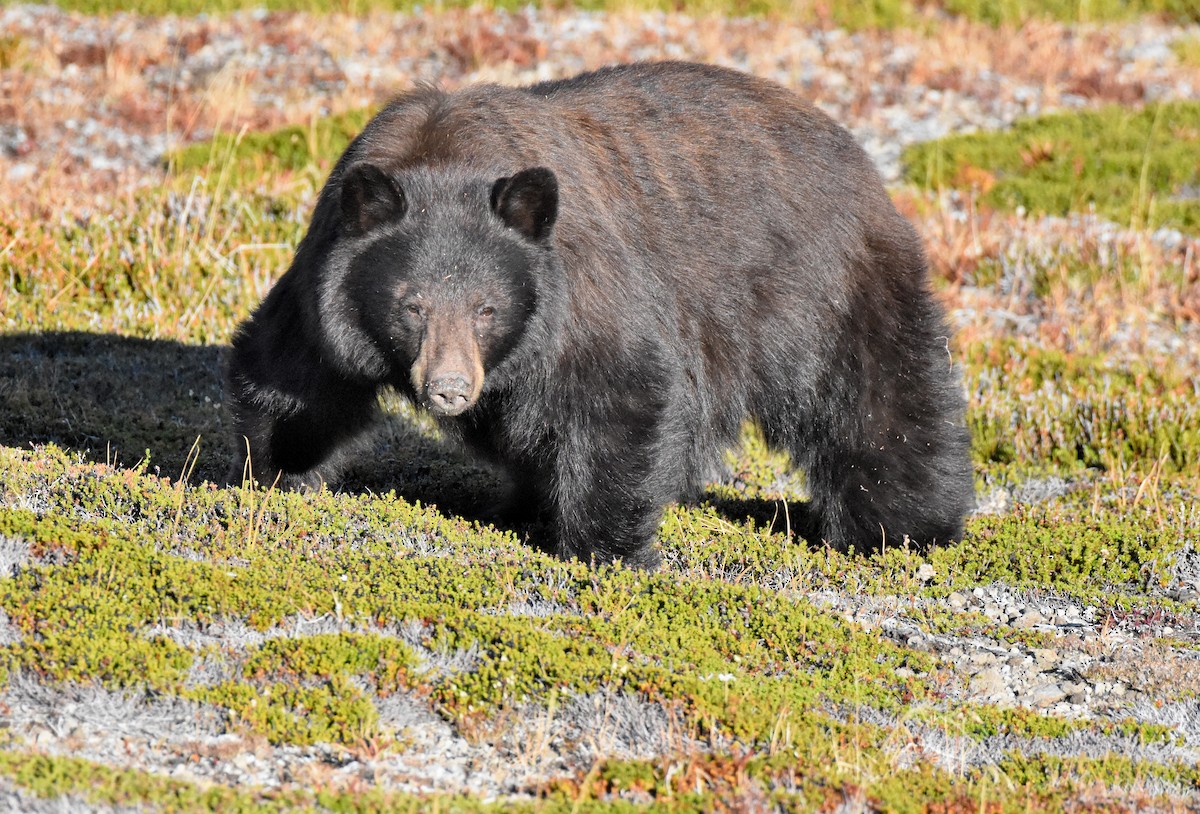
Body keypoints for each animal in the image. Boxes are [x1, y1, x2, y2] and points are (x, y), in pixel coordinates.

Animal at [225, 60, 975, 570]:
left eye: (487, 309)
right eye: (412, 306)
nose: (450, 389)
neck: (441, 155)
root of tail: (856, 150)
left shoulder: (579, 293)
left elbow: (618, 390)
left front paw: (602, 547)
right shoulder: (325, 272)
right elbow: (290, 374)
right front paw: (276, 472)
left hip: (824, 284)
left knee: (880, 398)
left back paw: (900, 528)